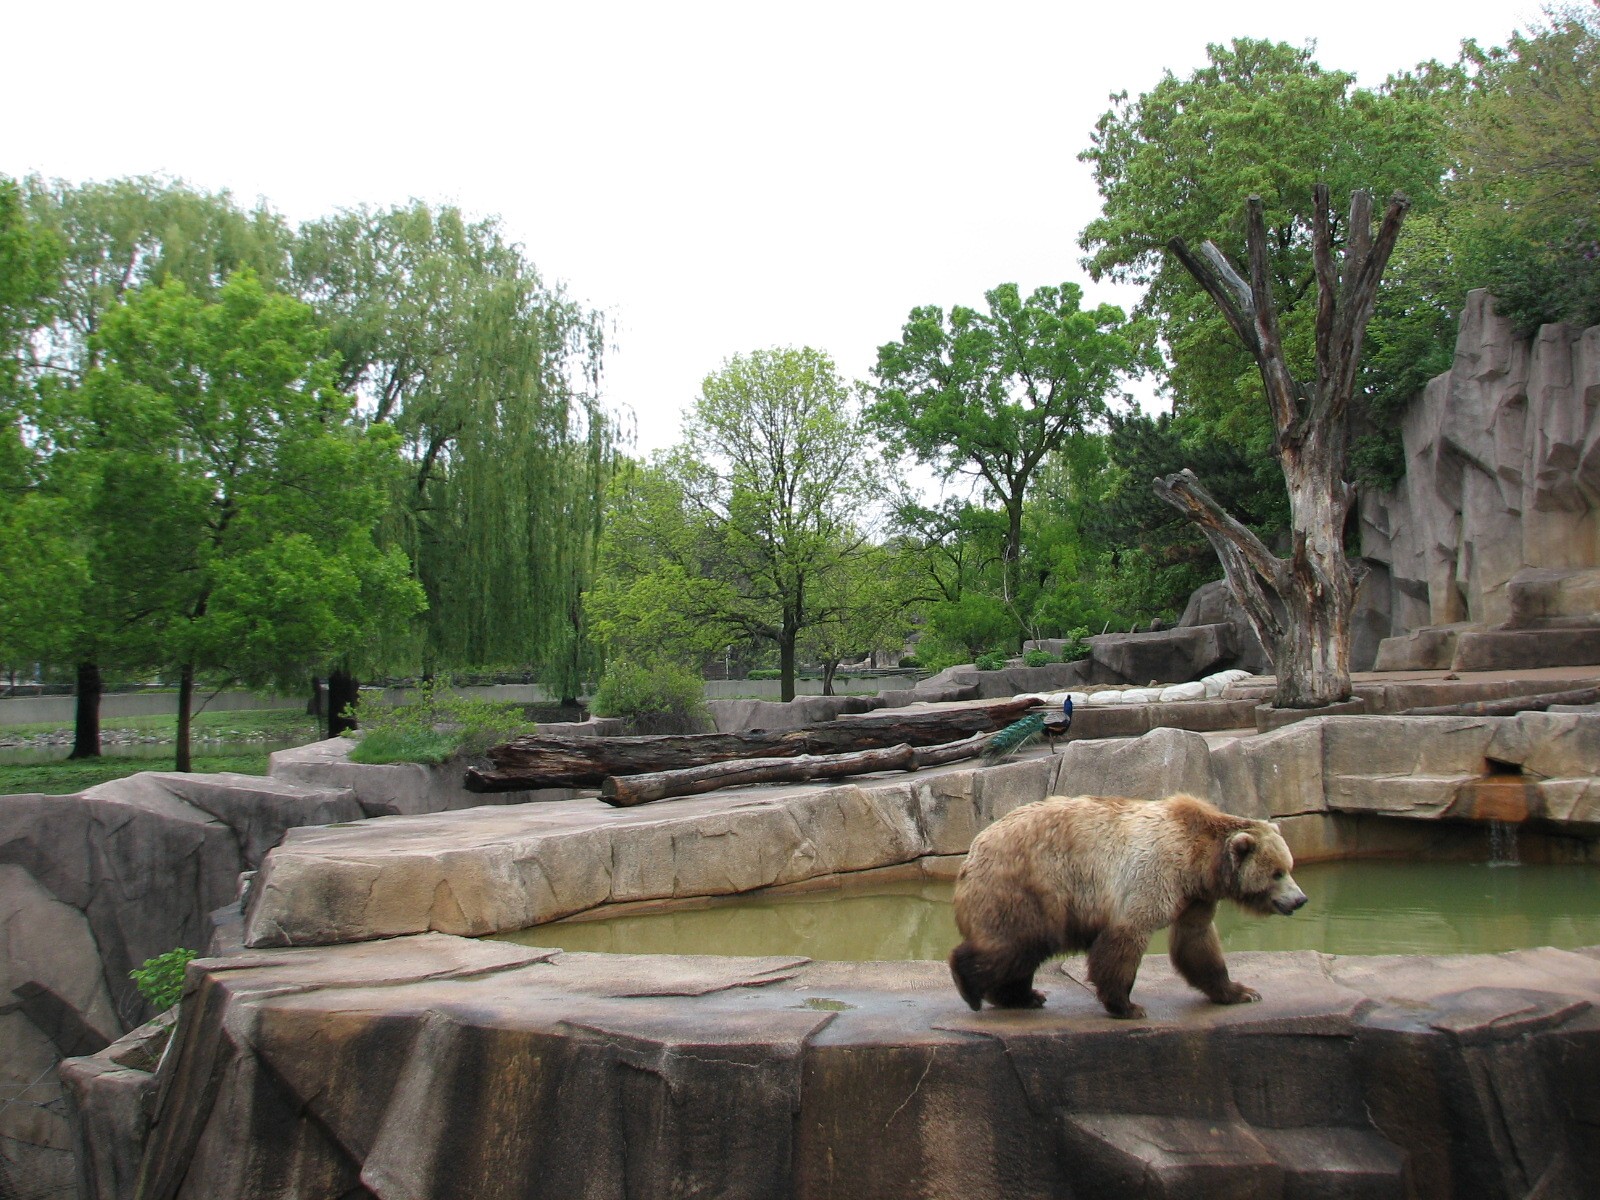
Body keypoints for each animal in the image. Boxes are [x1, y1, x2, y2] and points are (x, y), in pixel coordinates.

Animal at [948, 793, 1307, 1019]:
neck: (1198, 860)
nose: (1300, 899)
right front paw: (1128, 1006)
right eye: (1277, 872)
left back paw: (1022, 996)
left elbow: (1197, 942)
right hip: (1028, 887)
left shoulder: (1196, 897)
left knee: (1021, 952)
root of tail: (972, 851)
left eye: (1289, 867)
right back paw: (972, 988)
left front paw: (1240, 991)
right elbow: (1125, 940)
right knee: (1014, 944)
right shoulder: (1152, 877)